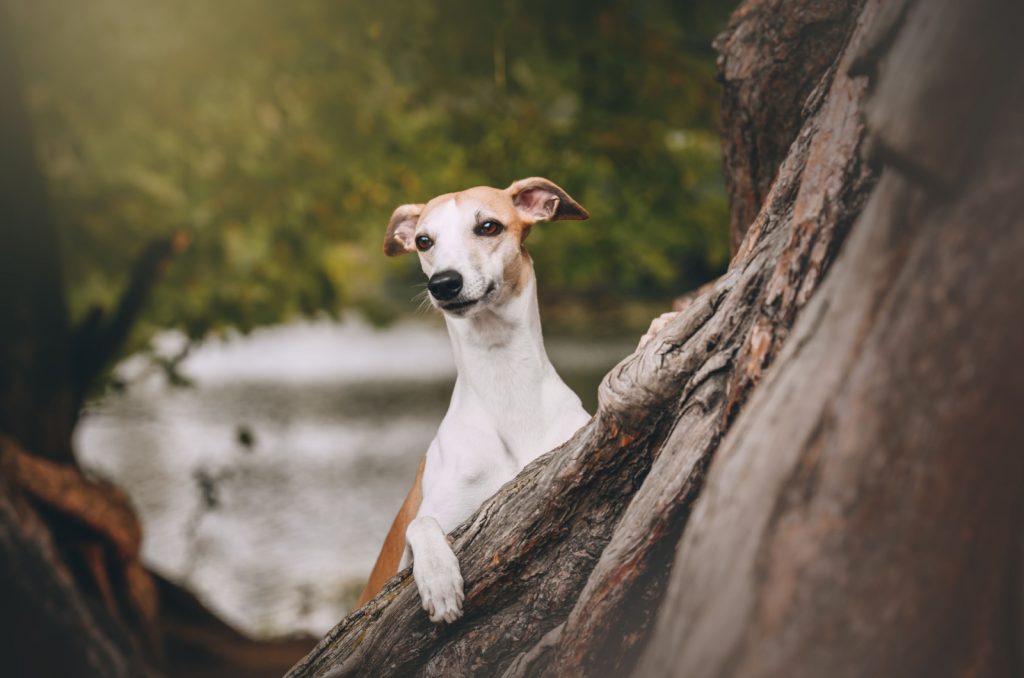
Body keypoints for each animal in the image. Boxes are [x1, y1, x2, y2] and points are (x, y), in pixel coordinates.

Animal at [358, 178, 671, 622]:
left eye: (488, 226)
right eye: (423, 240)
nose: (444, 283)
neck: (506, 385)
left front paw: (657, 330)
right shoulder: (421, 532)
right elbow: (419, 526)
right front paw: (439, 579)